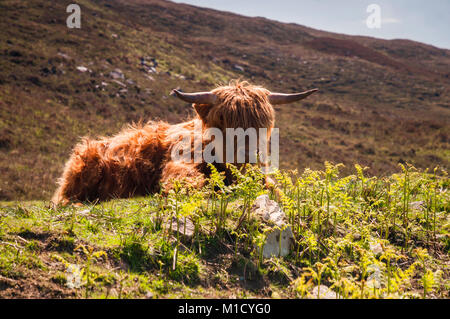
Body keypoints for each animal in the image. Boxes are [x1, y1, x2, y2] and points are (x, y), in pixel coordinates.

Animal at [51, 79, 318, 205]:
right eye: (224, 119)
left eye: (263, 122)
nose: (248, 154)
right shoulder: (178, 167)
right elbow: (190, 183)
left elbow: (273, 189)